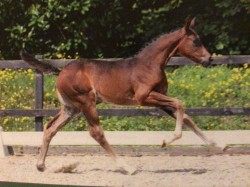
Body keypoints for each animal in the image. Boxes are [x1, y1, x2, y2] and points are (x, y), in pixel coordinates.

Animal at [20, 17, 228, 172]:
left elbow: (186, 118)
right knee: (96, 133)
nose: (209, 59)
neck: (150, 64)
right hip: (86, 103)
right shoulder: (144, 98)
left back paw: (40, 165)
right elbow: (180, 104)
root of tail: (61, 71)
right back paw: (127, 167)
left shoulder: (159, 100)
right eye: (195, 41)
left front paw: (220, 145)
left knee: (50, 128)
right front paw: (166, 141)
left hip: (71, 108)